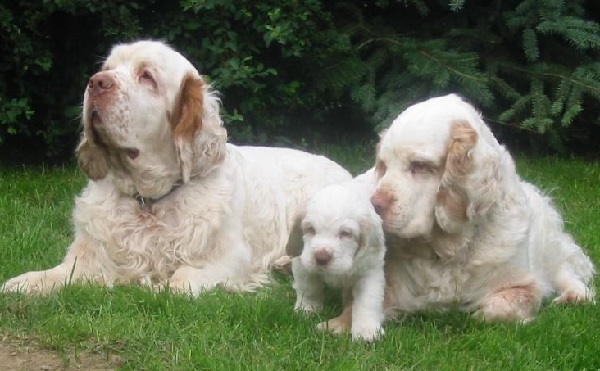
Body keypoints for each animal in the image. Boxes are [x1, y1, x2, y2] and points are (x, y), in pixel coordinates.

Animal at [3, 40, 352, 296]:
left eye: (147, 76)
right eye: (108, 69)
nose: (96, 83)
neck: (148, 200)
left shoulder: (230, 258)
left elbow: (180, 283)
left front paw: (160, 287)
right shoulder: (90, 257)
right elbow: (57, 273)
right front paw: (24, 282)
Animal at [284, 172, 384, 342]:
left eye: (346, 233)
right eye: (310, 229)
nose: (321, 257)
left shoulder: (370, 270)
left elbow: (368, 300)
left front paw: (366, 330)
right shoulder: (303, 263)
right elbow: (308, 288)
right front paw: (307, 309)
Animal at [370, 93, 596, 322]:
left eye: (420, 165)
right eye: (384, 166)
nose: (374, 205)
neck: (448, 251)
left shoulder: (524, 285)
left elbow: (496, 308)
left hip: (548, 243)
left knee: (564, 269)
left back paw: (576, 295)